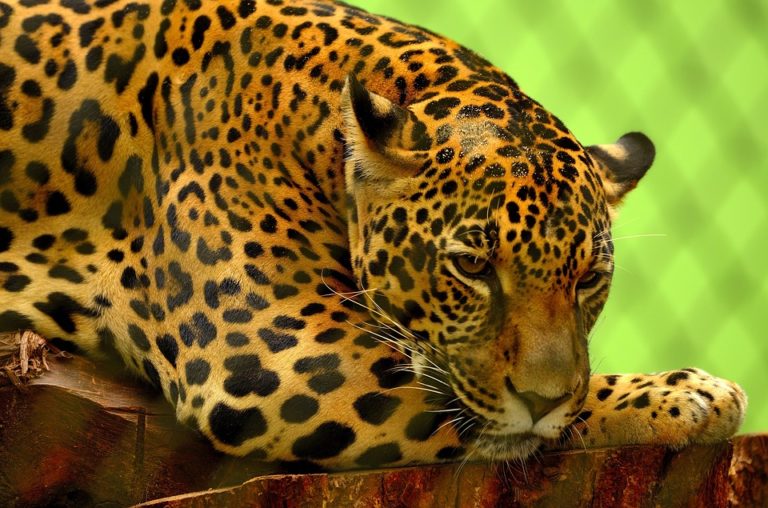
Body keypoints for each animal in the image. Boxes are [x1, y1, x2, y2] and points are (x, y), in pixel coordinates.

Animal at [0, 0, 746, 470]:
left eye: (589, 278)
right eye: (473, 266)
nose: (542, 399)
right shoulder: (273, 355)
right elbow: (492, 415)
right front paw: (682, 395)